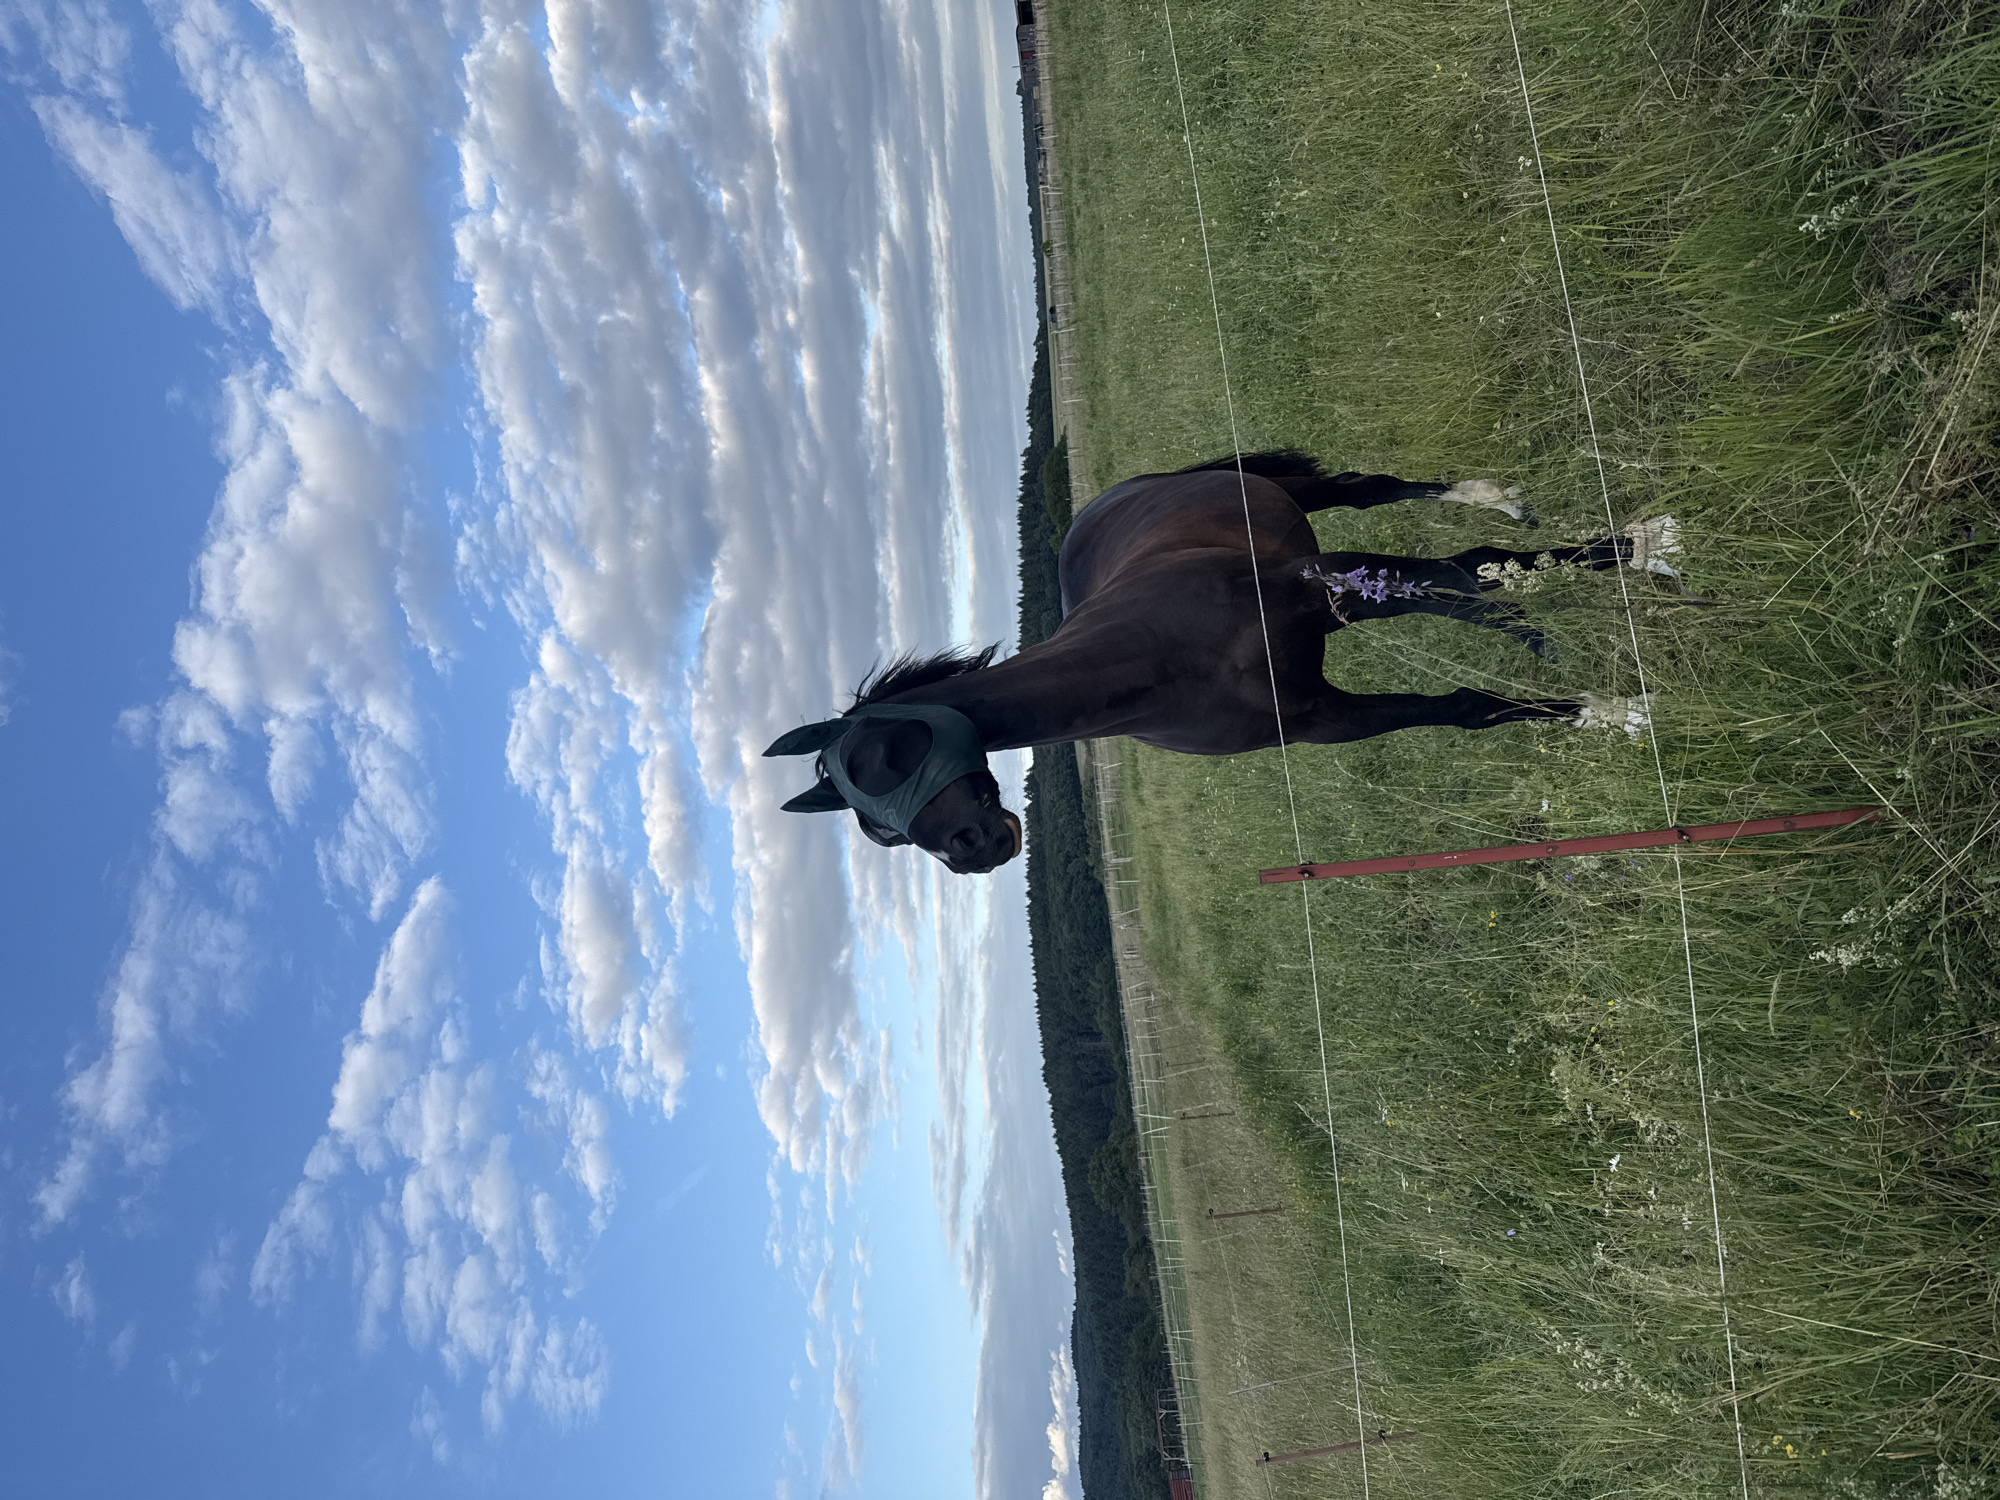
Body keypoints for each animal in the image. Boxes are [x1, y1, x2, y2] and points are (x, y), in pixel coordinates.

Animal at [766, 451, 1673, 875]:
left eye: (883, 756)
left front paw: (1615, 593)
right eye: (882, 831)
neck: (1159, 659)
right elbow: (1466, 706)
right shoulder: (1323, 718)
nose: (972, 848)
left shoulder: (1328, 586)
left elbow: (1469, 575)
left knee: (1376, 489)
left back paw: (1513, 505)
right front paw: (1596, 702)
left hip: (1301, 503)